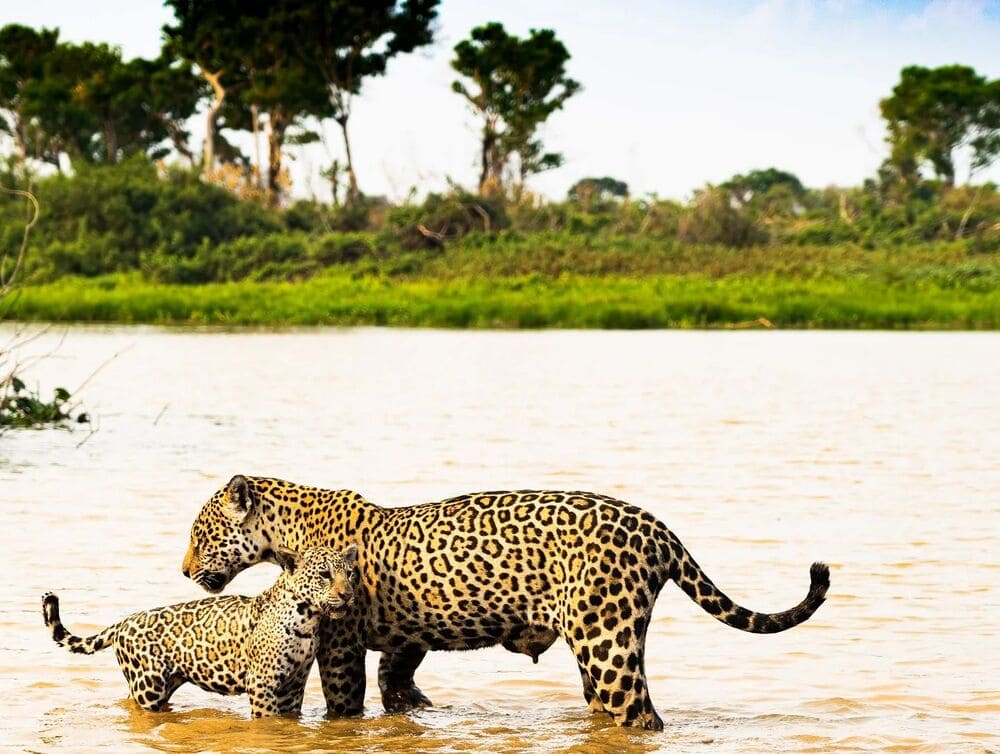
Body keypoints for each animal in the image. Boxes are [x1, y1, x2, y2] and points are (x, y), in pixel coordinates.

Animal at [43, 544, 359, 718]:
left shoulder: (293, 686)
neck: (308, 618)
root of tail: (123, 622)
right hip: (148, 687)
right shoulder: (262, 684)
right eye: (324, 575)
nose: (348, 595)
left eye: (349, 573)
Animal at [182, 475, 830, 729]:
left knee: (643, 716)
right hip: (607, 644)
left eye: (201, 534)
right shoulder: (407, 636)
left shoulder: (340, 647)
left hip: (606, 644)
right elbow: (397, 682)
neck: (285, 534)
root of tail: (655, 526)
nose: (184, 570)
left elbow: (344, 704)